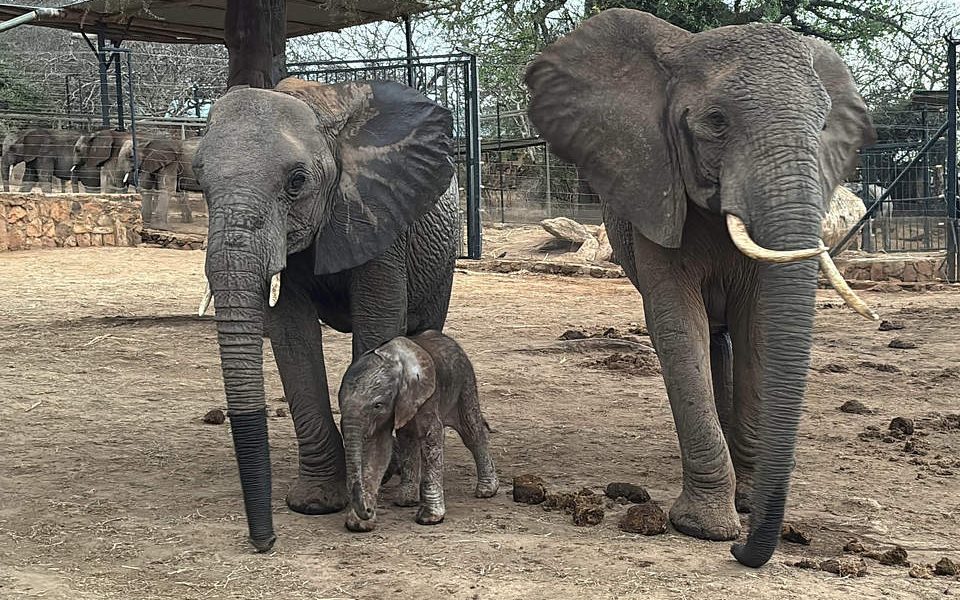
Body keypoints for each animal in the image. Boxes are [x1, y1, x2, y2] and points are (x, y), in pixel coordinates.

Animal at [193, 77, 459, 552]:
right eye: (198, 180)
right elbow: (291, 334)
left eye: (297, 182)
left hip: (442, 257)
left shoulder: (379, 215)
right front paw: (315, 502)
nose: (265, 542)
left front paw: (374, 477)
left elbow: (378, 319)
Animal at [339, 331, 499, 533]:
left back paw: (486, 491)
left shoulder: (427, 396)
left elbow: (432, 438)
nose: (368, 509)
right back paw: (406, 500)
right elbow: (379, 448)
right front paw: (359, 524)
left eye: (377, 405)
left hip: (465, 381)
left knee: (471, 432)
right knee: (408, 439)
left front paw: (429, 518)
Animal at [525, 9, 877, 568]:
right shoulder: (654, 193)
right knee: (709, 339)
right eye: (716, 122)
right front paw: (706, 528)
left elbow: (760, 325)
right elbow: (676, 322)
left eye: (823, 126)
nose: (742, 550)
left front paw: (747, 503)